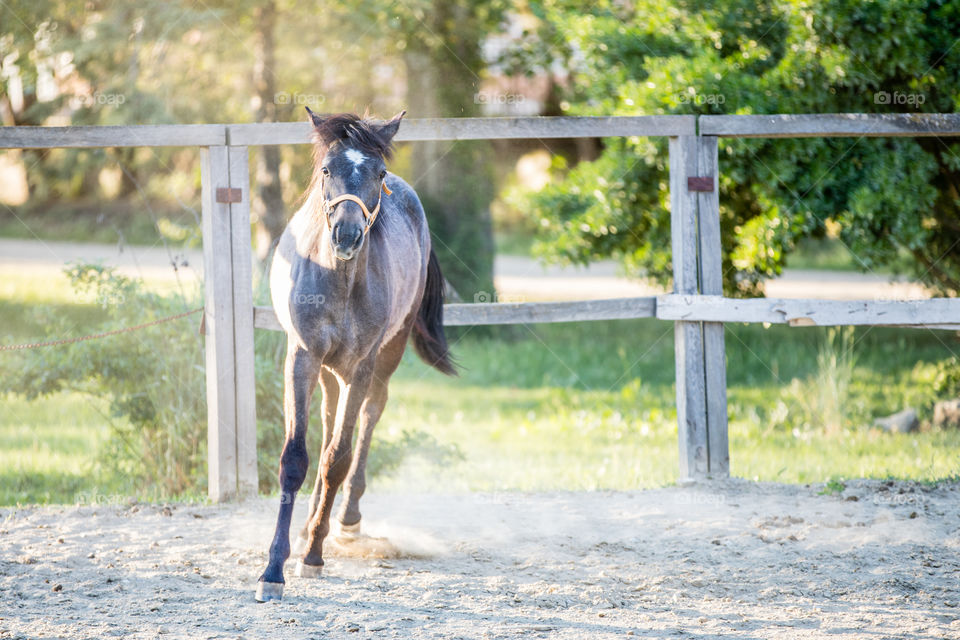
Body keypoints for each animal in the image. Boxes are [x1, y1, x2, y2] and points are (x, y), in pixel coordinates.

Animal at [255, 107, 458, 604]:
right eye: (327, 170)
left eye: (378, 173)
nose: (345, 235)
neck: (338, 279)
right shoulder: (302, 357)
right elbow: (296, 458)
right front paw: (273, 569)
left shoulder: (361, 366)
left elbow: (338, 460)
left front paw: (312, 556)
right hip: (329, 371)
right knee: (329, 421)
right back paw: (312, 521)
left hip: (385, 356)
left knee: (368, 417)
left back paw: (342, 521)